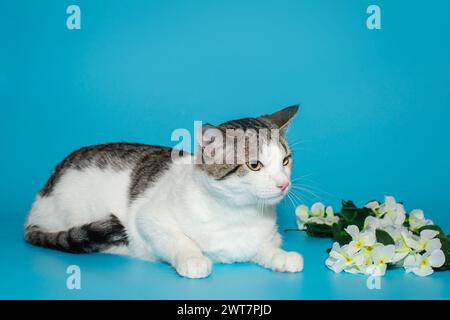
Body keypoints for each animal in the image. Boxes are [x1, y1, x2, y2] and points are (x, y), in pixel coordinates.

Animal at [26, 105, 304, 278]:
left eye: (285, 161)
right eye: (254, 165)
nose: (283, 184)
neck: (238, 213)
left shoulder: (264, 234)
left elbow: (264, 245)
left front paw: (281, 256)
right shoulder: (148, 217)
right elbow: (178, 239)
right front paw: (193, 258)